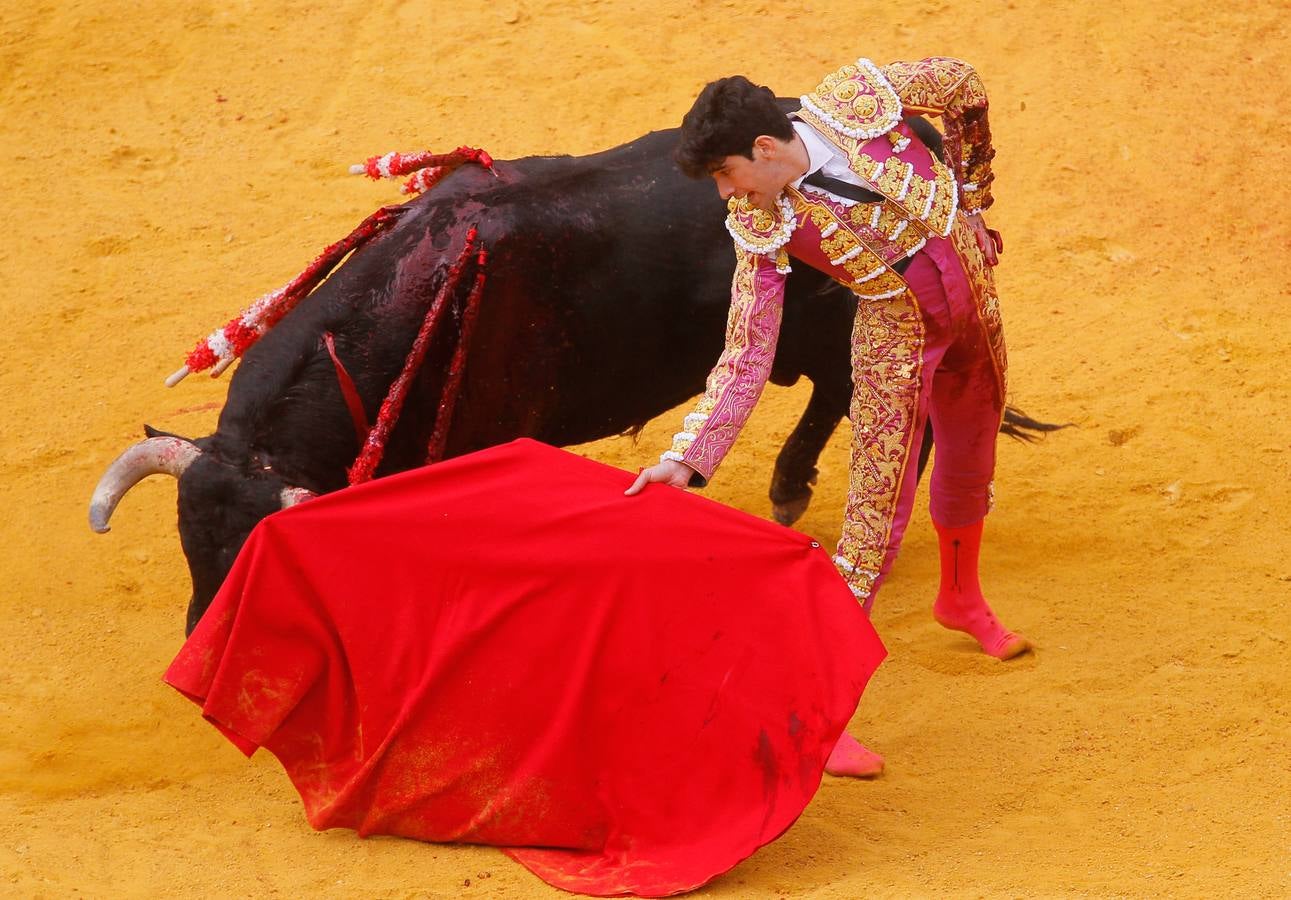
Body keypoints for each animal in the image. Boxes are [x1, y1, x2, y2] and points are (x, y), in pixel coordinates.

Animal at [91, 119, 1058, 632]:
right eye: (190, 541)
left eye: (252, 557)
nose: (202, 637)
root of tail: (914, 135)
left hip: (860, 321)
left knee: (881, 410)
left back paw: (809, 508)